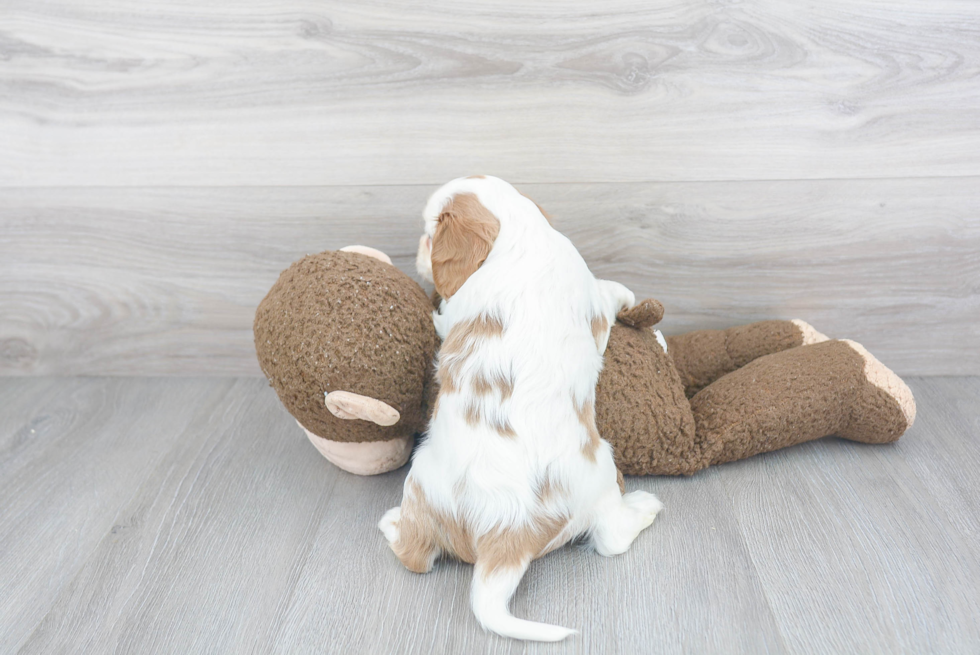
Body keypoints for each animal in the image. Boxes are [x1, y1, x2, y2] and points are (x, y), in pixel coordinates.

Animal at [378, 177, 664, 644]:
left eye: (431, 234)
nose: (418, 247)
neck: (521, 240)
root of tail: (505, 525)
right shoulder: (592, 298)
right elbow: (608, 290)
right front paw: (627, 293)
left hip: (421, 484)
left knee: (415, 556)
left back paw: (391, 523)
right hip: (601, 470)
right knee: (612, 538)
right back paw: (644, 506)